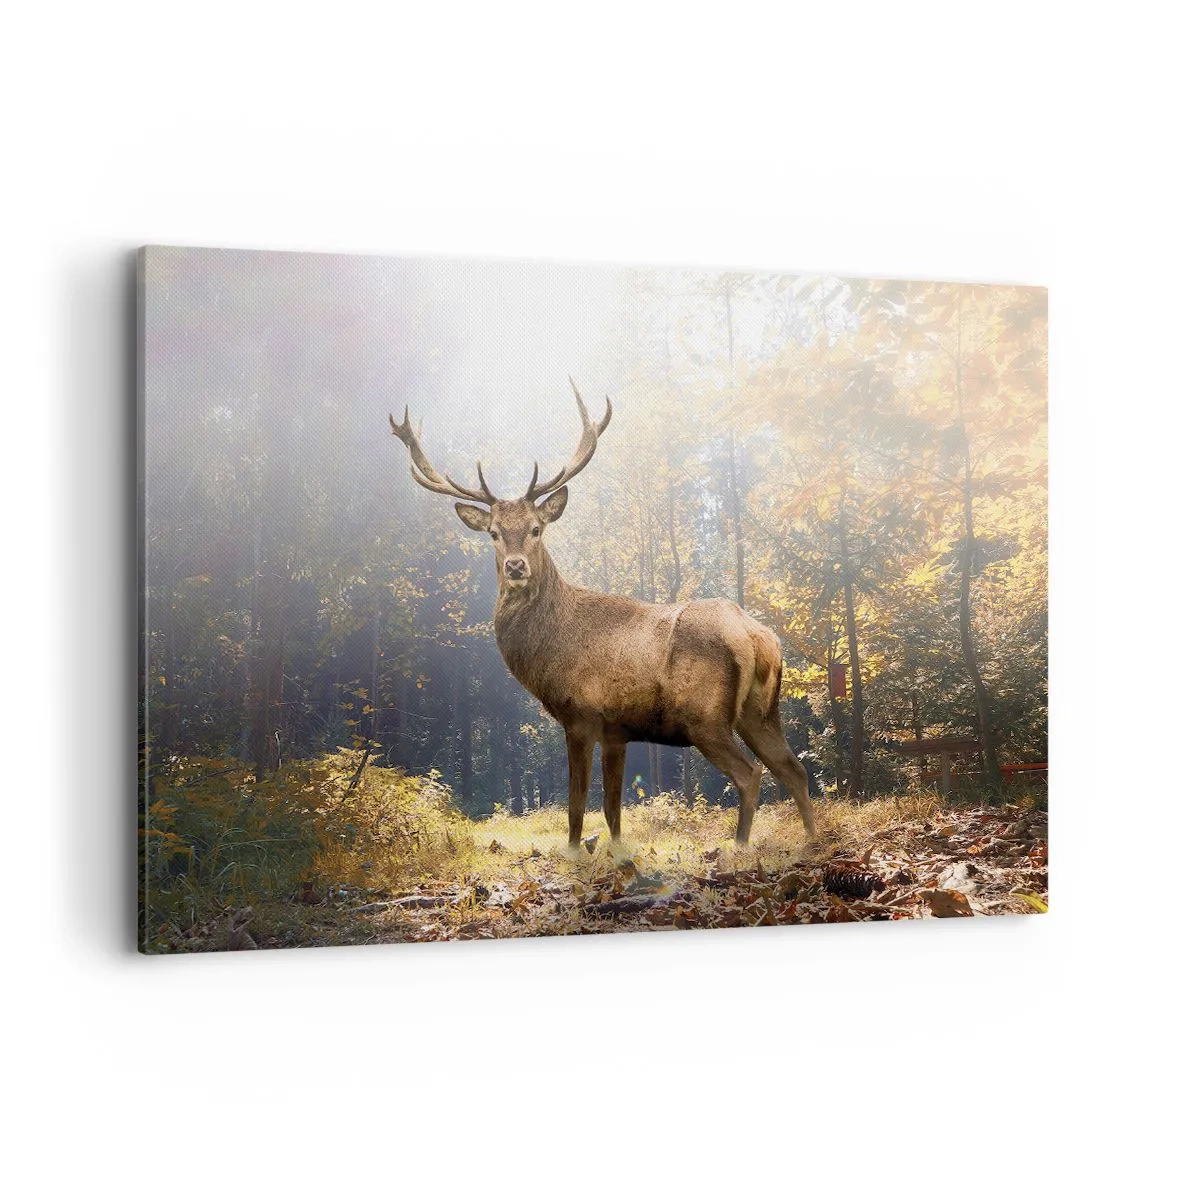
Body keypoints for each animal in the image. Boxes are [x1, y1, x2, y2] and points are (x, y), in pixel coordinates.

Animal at [389, 382, 817, 849]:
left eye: (537, 528)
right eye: (493, 533)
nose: (516, 566)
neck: (548, 652)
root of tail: (756, 636)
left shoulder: (580, 715)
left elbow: (577, 806)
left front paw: (575, 853)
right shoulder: (618, 730)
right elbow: (612, 809)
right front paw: (616, 853)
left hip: (705, 715)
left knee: (751, 774)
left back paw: (738, 847)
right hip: (761, 712)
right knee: (794, 769)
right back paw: (813, 841)